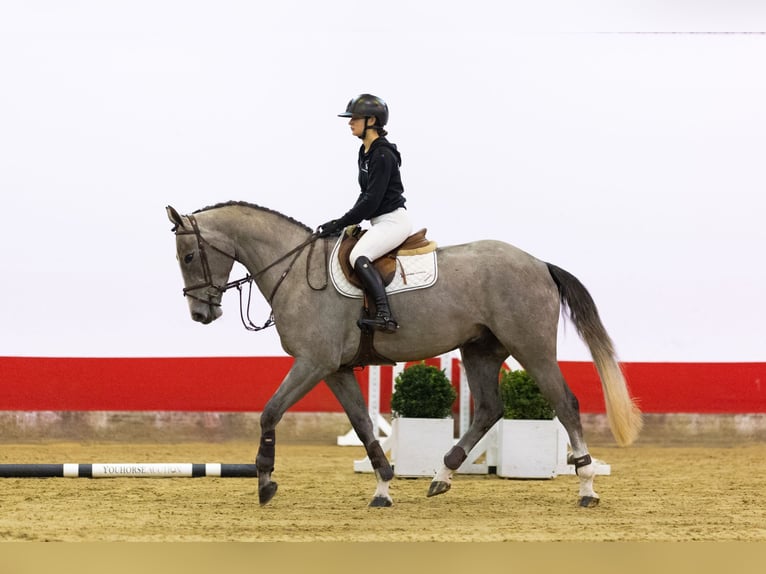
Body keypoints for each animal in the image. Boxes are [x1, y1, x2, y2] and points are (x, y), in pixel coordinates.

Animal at [165, 201, 642, 508]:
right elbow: (362, 425)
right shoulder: (336, 369)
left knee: (565, 402)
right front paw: (383, 488)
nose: (201, 314)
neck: (298, 273)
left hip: (531, 347)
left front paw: (264, 480)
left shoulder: (313, 363)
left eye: (188, 256)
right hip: (480, 350)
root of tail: (540, 263)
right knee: (490, 408)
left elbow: (270, 412)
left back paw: (586, 487)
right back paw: (440, 476)